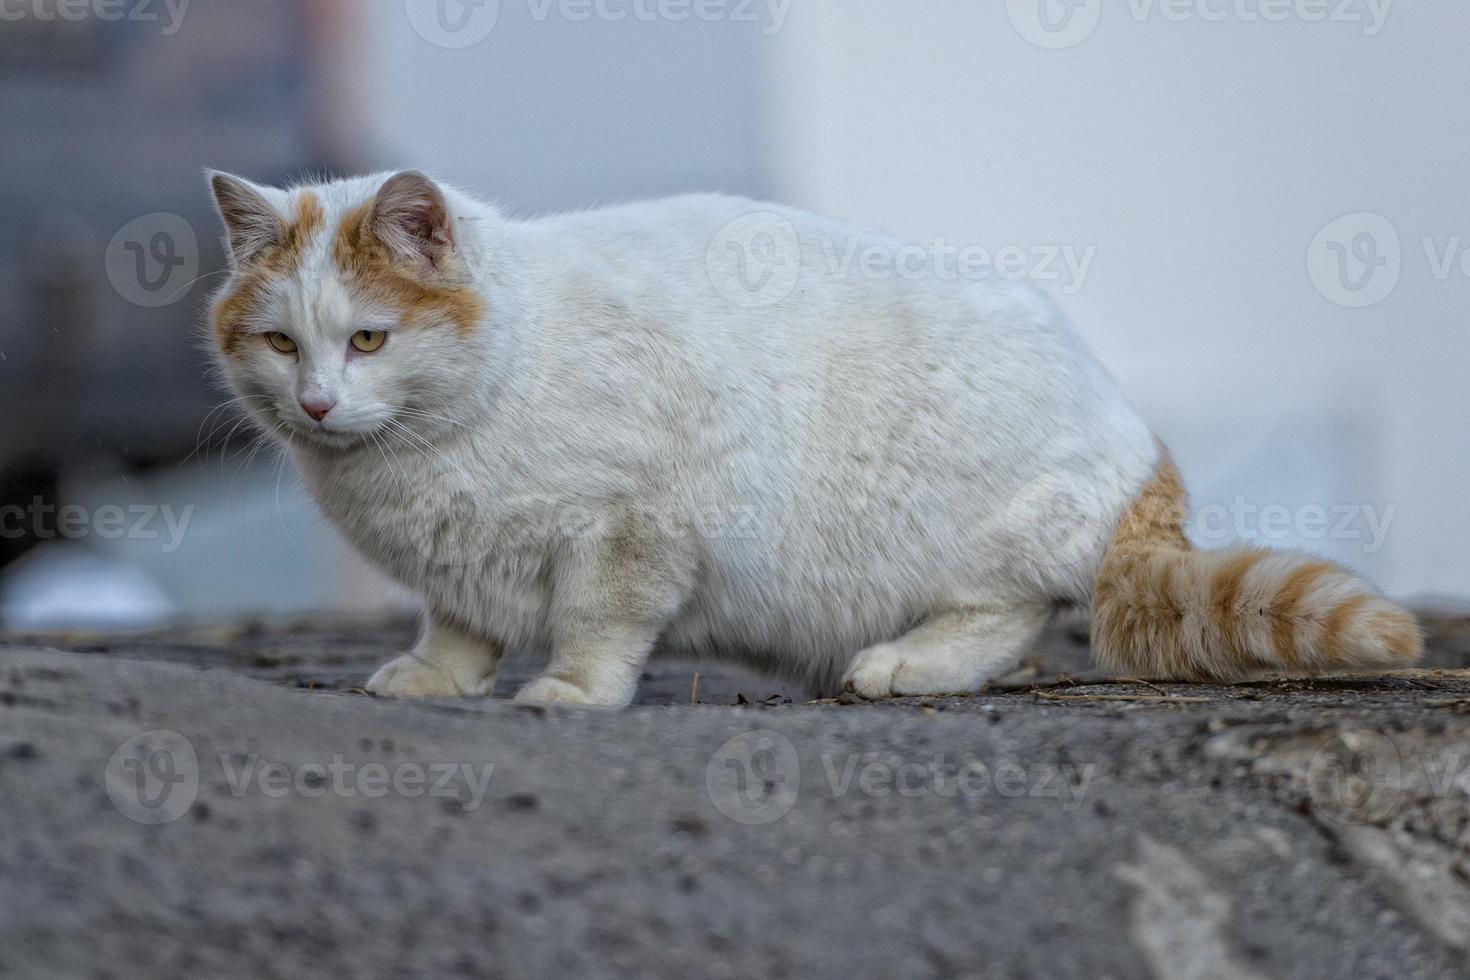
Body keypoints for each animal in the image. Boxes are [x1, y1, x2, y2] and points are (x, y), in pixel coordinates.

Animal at [201, 170, 1417, 705]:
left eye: (368, 337)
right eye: (279, 341)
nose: (316, 404)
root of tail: (1132, 434)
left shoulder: (634, 528)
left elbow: (596, 623)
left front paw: (572, 692)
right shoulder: (462, 555)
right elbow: (456, 625)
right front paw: (435, 679)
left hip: (961, 535)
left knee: (1009, 614)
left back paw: (905, 666)